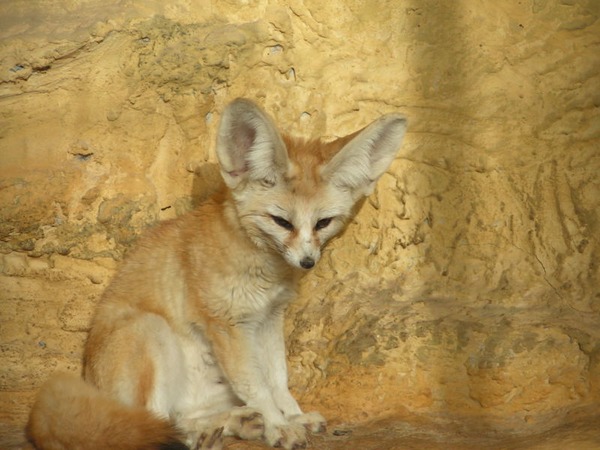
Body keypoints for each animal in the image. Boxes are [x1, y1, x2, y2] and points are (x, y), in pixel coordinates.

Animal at [25, 98, 406, 450]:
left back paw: (233, 423)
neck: (261, 267)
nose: (308, 262)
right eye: (282, 222)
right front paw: (278, 426)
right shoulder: (228, 325)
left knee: (180, 417)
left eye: (323, 223)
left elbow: (277, 379)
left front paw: (292, 416)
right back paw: (205, 434)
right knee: (151, 424)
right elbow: (258, 386)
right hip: (151, 331)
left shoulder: (269, 318)